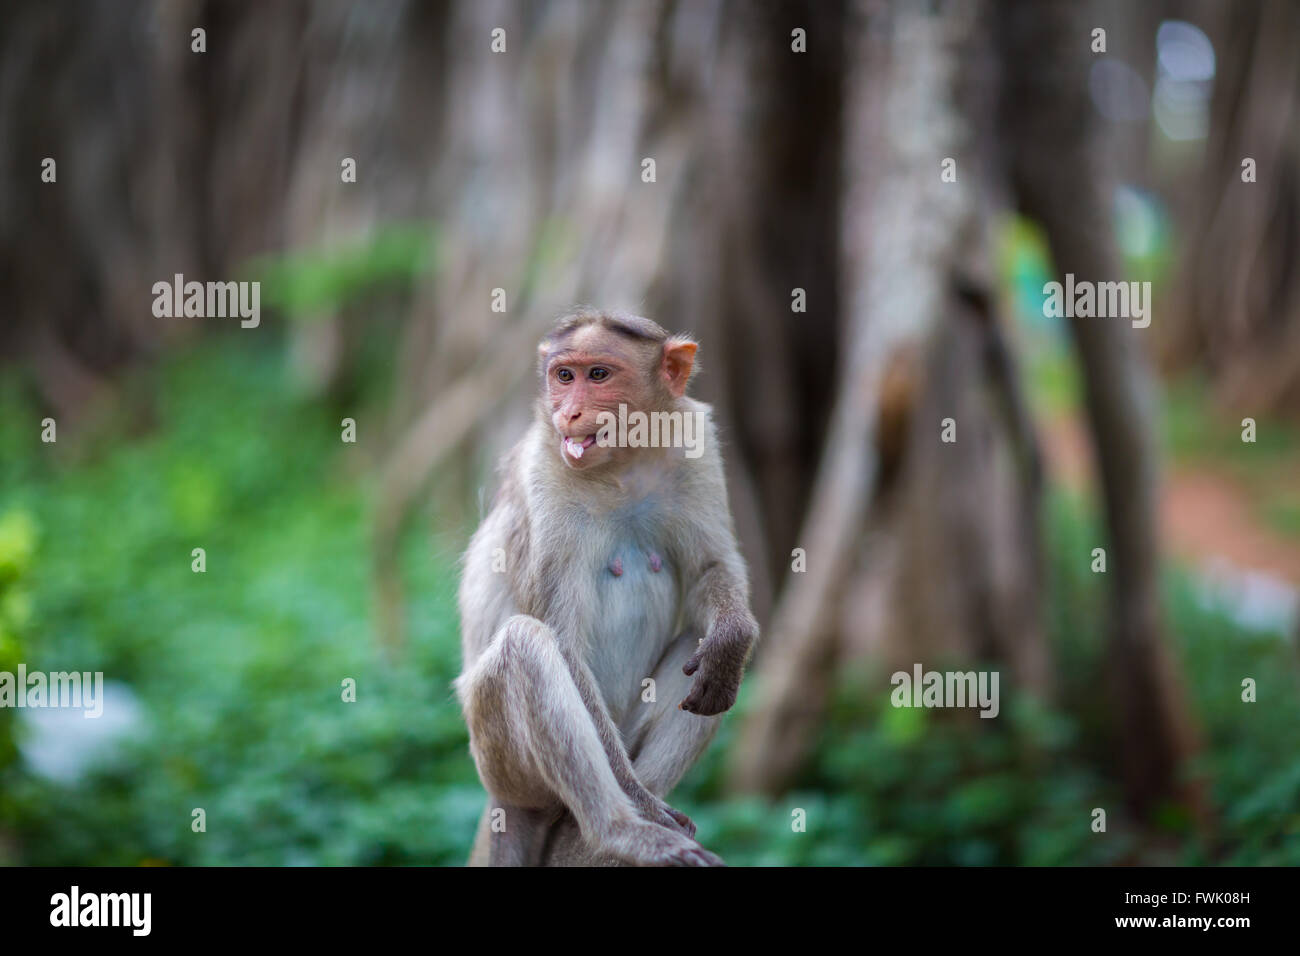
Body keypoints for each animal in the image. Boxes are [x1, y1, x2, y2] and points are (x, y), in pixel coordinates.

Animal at [457, 308, 759, 868]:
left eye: (598, 375)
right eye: (563, 376)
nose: (570, 413)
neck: (623, 465)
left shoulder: (695, 441)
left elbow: (711, 566)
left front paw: (733, 637)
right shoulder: (541, 478)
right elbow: (564, 644)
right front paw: (638, 805)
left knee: (699, 647)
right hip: (498, 761)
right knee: (526, 646)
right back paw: (623, 829)